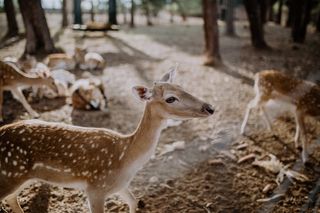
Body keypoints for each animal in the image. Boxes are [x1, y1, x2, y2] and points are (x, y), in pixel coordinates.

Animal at [0, 65, 215, 212]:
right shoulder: (95, 188)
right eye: (170, 98)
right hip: (9, 174)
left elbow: (134, 202)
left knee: (11, 199)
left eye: (181, 86)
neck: (125, 158)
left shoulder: (120, 185)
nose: (210, 108)